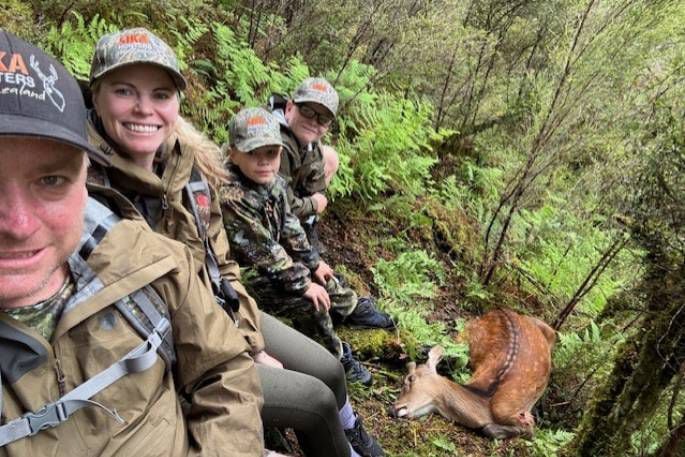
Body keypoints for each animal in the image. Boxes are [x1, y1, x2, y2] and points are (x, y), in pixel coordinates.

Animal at [390, 310, 556, 438]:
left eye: (410, 379)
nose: (394, 408)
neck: (487, 402)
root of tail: (500, 309)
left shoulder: (513, 414)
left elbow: (509, 429)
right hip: (463, 335)